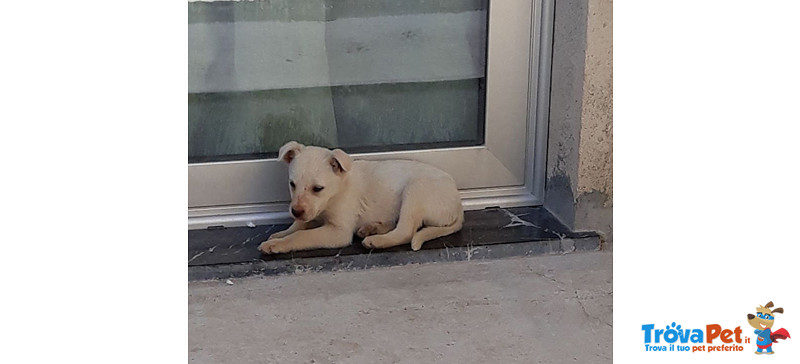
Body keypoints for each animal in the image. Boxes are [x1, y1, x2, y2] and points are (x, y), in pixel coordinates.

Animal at [260, 141, 466, 255]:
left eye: (318, 188)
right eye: (292, 184)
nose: (295, 211)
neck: (336, 192)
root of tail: (458, 206)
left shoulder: (339, 231)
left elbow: (302, 235)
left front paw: (277, 244)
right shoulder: (312, 213)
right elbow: (298, 226)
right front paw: (280, 234)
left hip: (416, 191)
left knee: (406, 230)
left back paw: (376, 240)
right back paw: (371, 228)